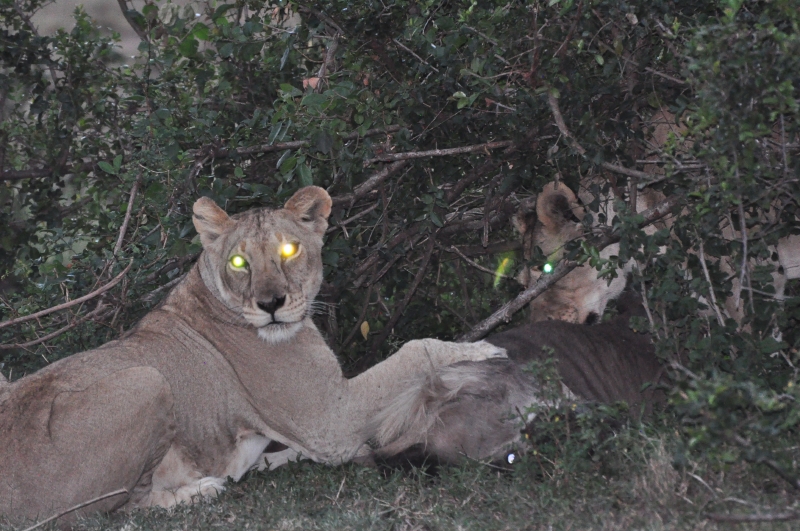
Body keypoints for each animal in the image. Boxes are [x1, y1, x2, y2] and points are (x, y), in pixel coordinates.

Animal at [0, 186, 505, 524]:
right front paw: (484, 347)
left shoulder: (319, 429)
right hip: (146, 380)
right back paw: (200, 492)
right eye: (239, 262)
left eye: (290, 249)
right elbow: (417, 349)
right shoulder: (331, 419)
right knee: (120, 512)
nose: (271, 304)